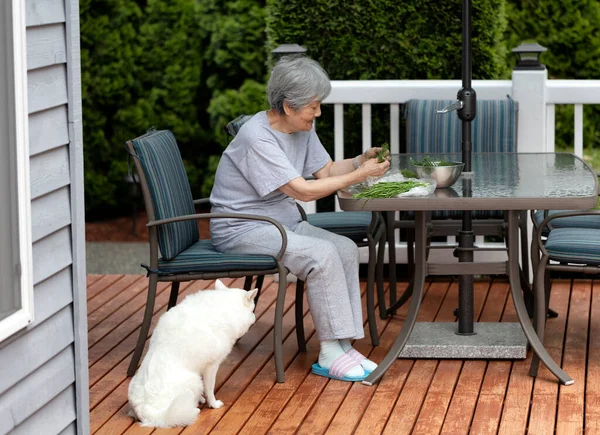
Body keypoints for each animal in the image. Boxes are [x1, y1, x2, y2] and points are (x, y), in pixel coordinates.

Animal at [127, 282, 256, 428]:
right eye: (252, 310)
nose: (255, 318)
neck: (222, 308)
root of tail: (145, 409)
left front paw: (201, 398)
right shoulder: (211, 366)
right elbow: (210, 389)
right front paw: (213, 404)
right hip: (194, 381)